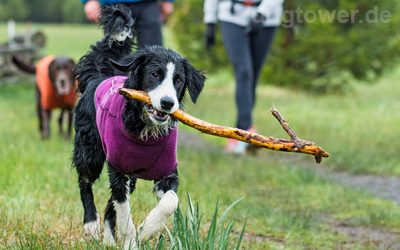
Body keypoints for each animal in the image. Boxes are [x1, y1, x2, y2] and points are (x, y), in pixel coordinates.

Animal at [71, 2, 206, 249]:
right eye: (154, 74)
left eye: (178, 80)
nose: (167, 103)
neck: (145, 131)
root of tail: (97, 78)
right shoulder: (118, 168)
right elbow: (124, 211)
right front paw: (132, 239)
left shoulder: (166, 171)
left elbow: (170, 201)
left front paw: (147, 229)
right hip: (90, 151)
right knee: (85, 182)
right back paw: (91, 225)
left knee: (110, 205)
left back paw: (108, 238)